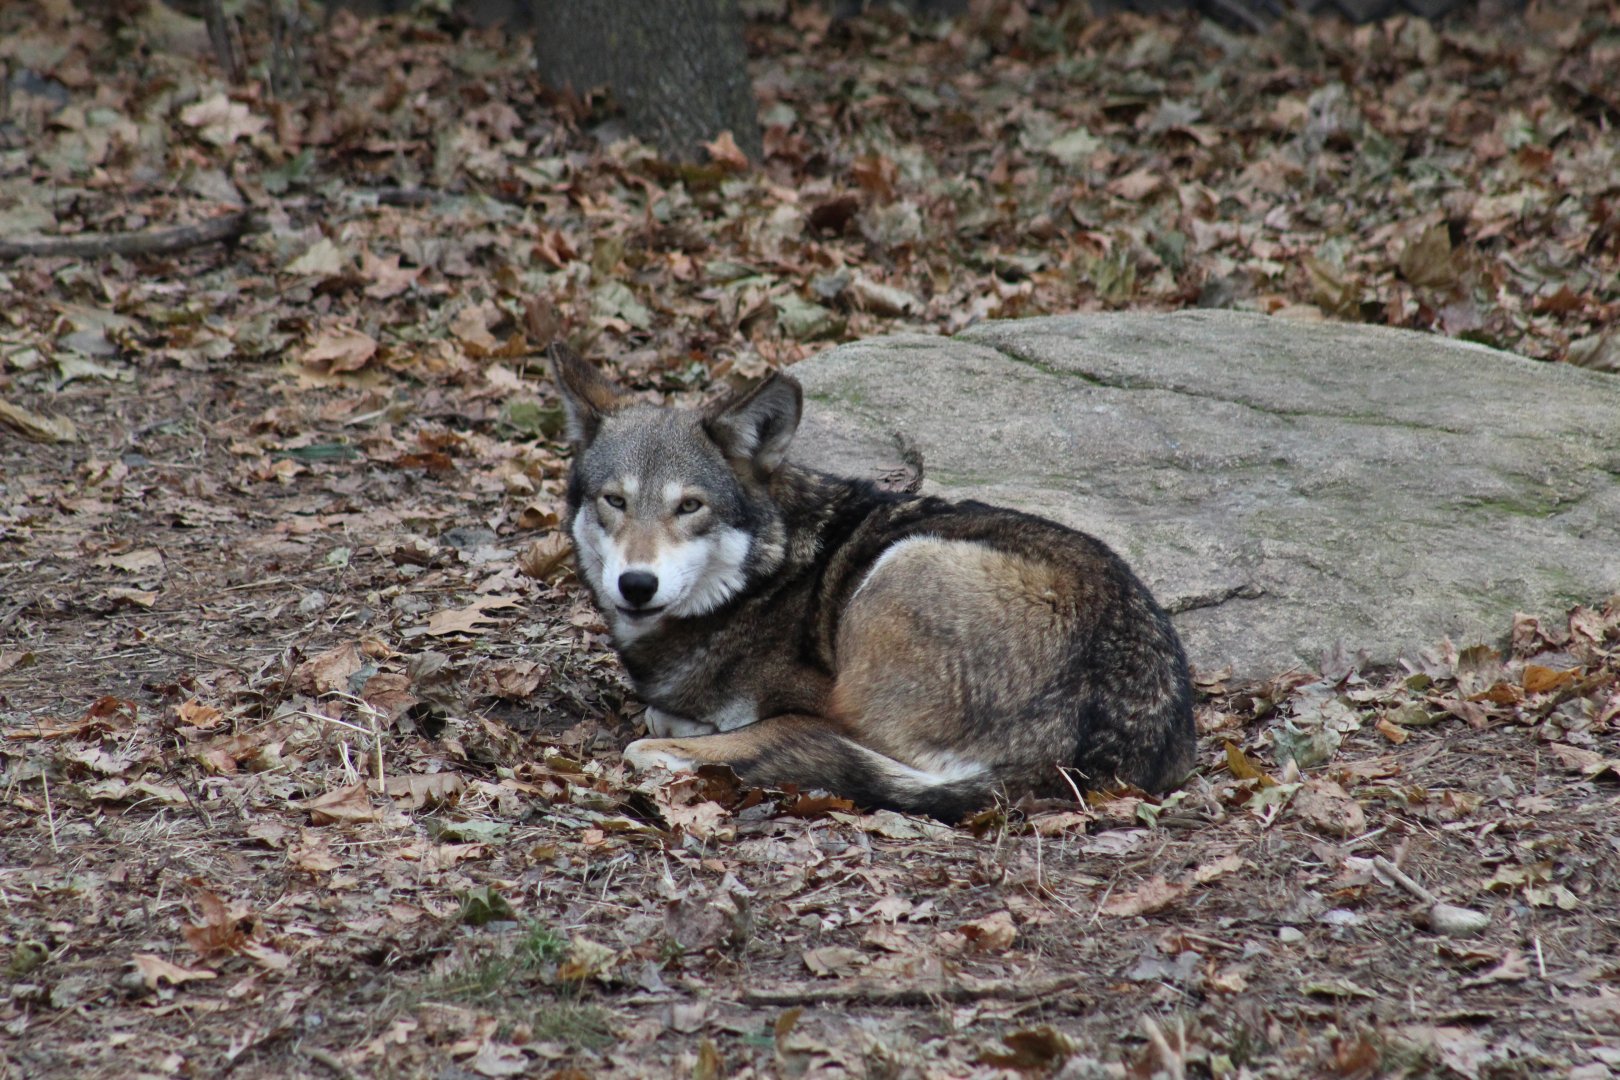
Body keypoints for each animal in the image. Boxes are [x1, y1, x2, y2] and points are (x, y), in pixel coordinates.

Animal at [549, 342, 1196, 821]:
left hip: (897, 573)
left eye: (689, 506)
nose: (636, 584)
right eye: (615, 501)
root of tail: (1082, 753)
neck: (765, 578)